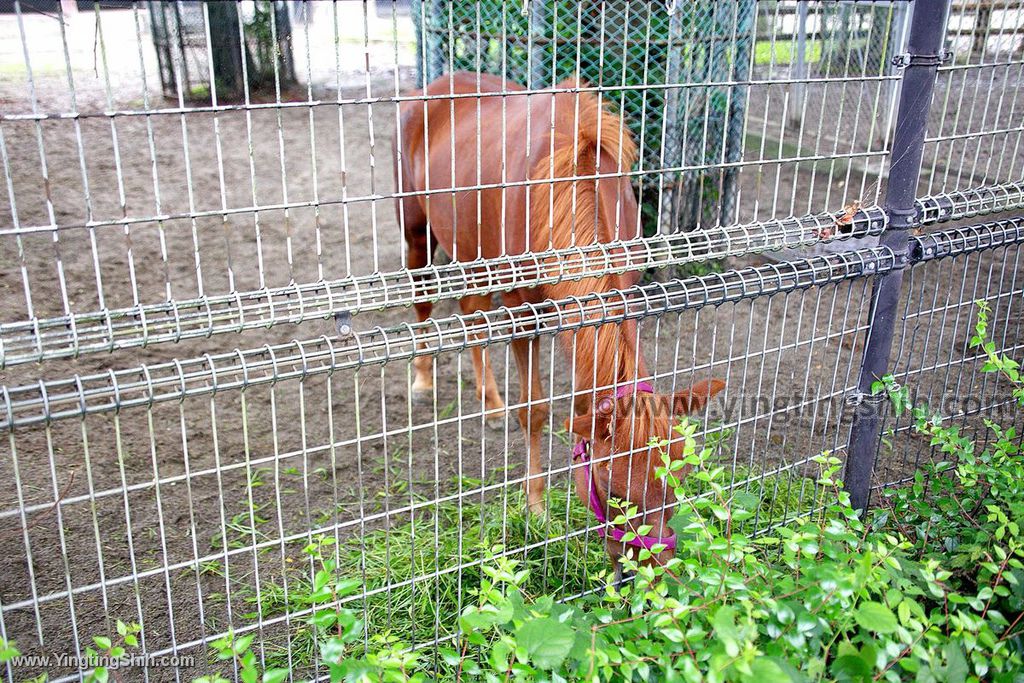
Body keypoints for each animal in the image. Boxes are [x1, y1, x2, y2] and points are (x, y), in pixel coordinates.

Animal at [393, 72, 729, 569]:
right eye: (611, 489)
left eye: (678, 481)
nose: (647, 573)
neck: (568, 184)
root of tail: (433, 88)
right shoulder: (522, 309)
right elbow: (534, 411)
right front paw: (536, 511)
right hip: (417, 228)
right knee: (424, 300)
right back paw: (421, 379)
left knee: (471, 312)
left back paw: (491, 404)